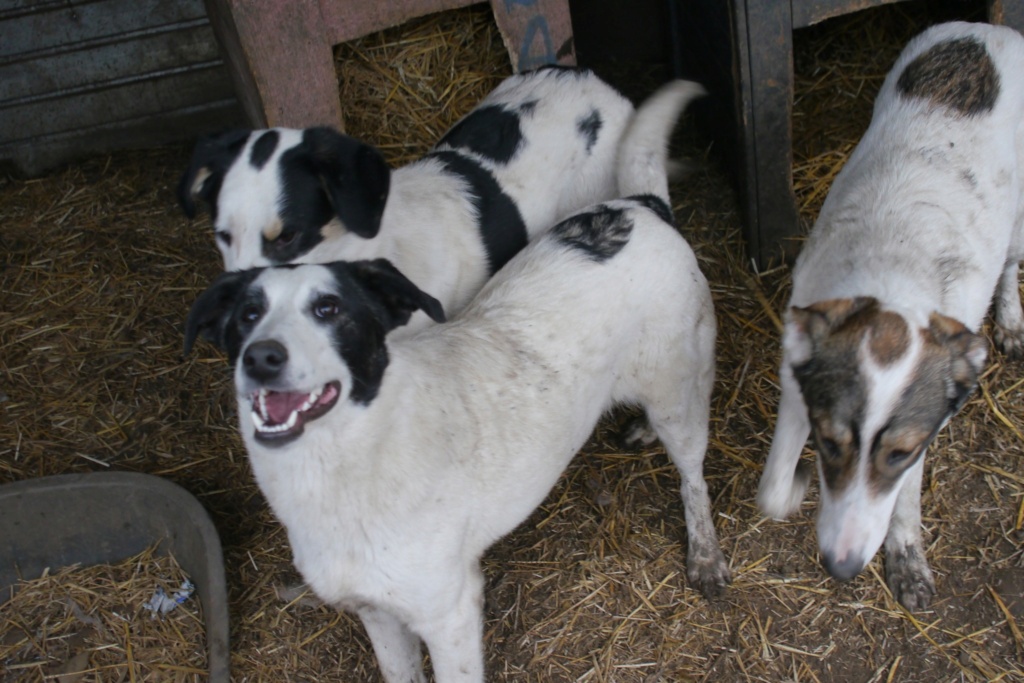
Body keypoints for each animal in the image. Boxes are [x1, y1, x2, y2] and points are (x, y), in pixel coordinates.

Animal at [753, 21, 1024, 610]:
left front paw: (906, 554)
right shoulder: (798, 383)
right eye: (831, 444)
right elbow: (772, 492)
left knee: (1014, 260)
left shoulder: (926, 423)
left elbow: (906, 499)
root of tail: (987, 28)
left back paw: (1012, 319)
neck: (891, 269)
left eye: (899, 453)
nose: (840, 567)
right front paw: (797, 487)